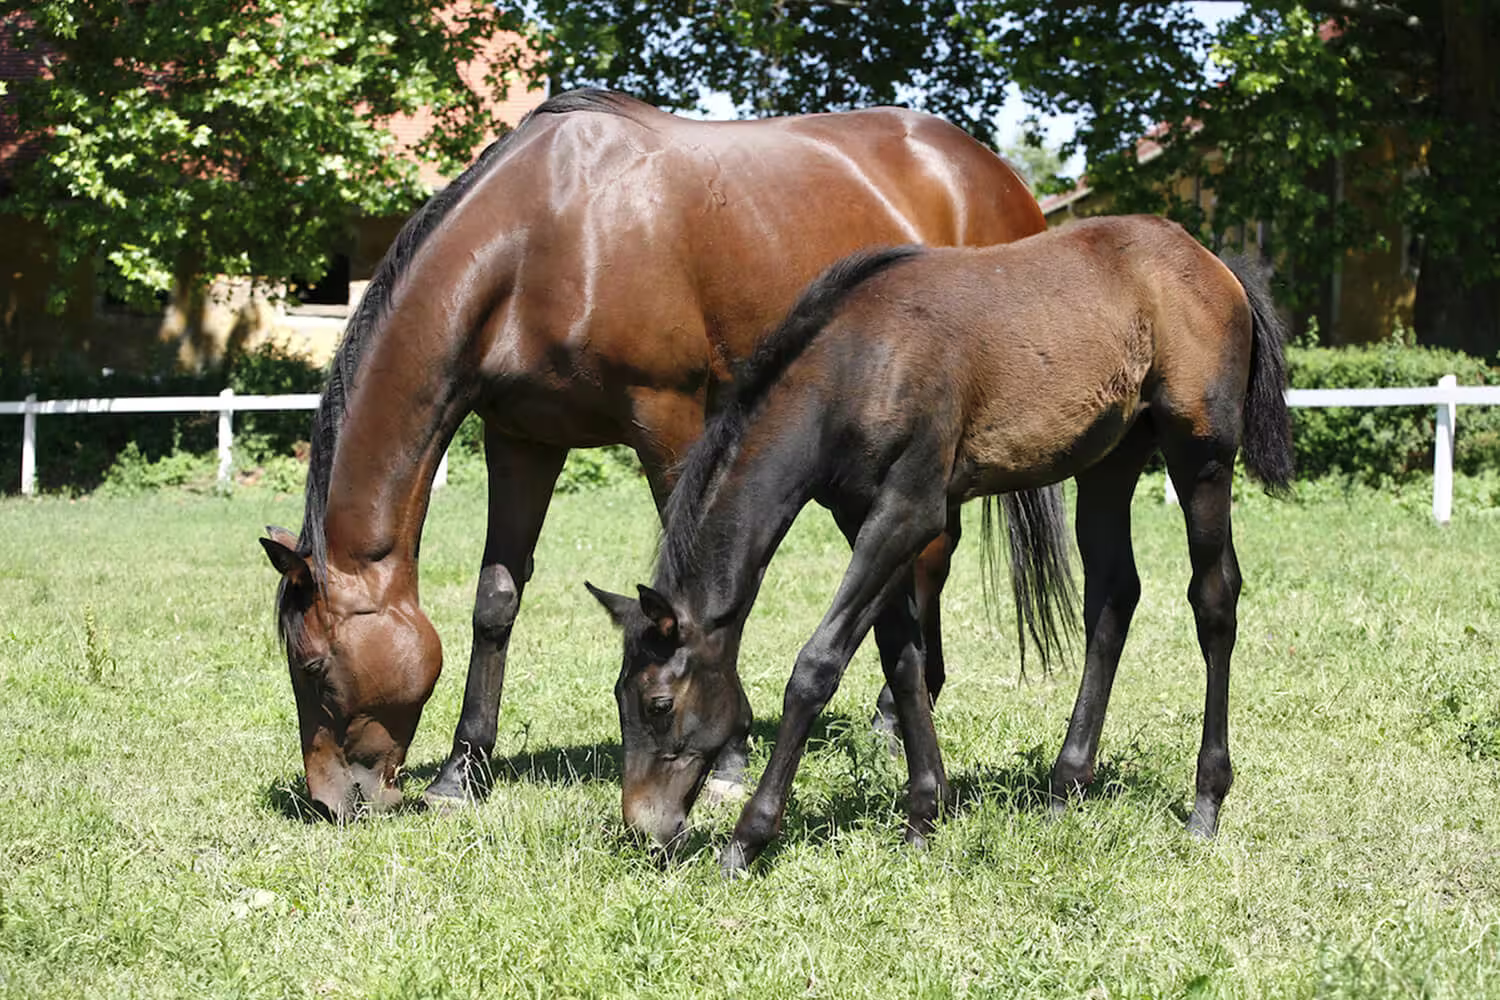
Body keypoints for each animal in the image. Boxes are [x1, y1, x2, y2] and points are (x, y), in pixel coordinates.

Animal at [256, 88, 1052, 820]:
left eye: (313, 665)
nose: (331, 802)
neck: (546, 235)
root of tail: (993, 171)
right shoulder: (523, 438)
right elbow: (496, 601)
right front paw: (462, 772)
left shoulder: (669, 419)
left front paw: (728, 759)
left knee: (928, 555)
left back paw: (892, 719)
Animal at [589, 214, 1294, 874]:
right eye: (620, 699)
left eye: (658, 703)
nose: (644, 829)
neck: (856, 367)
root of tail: (1215, 265)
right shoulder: (861, 516)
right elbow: (901, 657)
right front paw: (924, 815)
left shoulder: (910, 510)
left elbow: (818, 666)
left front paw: (747, 840)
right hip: (1110, 462)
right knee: (1113, 595)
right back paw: (1065, 787)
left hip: (1201, 455)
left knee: (1214, 599)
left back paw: (1204, 805)